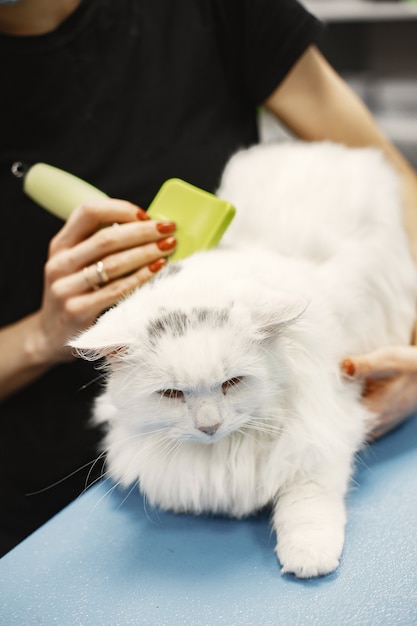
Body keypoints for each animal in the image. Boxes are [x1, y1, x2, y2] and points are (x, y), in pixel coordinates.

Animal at [70, 141, 416, 576]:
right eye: (171, 394)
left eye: (232, 383)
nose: (209, 426)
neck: (225, 451)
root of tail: (325, 150)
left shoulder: (323, 426)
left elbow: (308, 499)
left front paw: (309, 556)